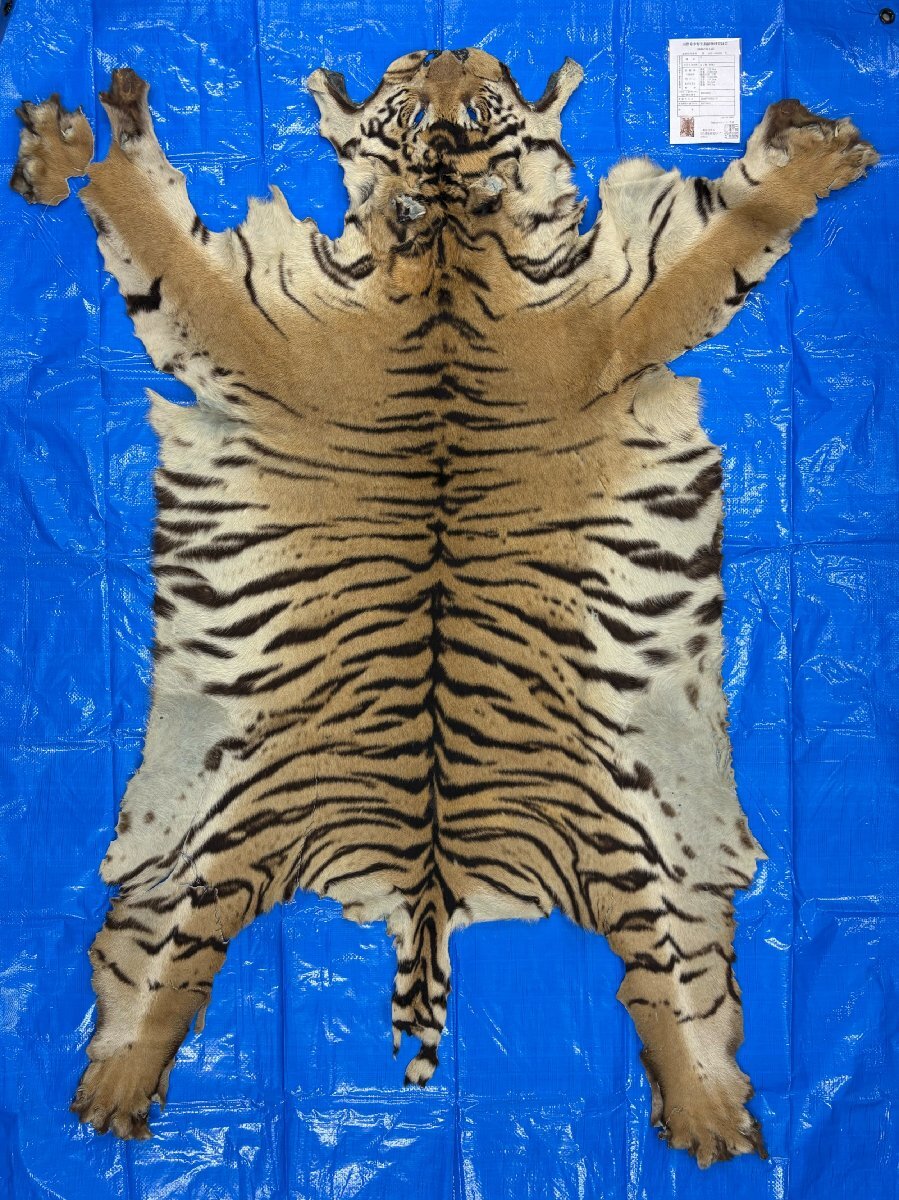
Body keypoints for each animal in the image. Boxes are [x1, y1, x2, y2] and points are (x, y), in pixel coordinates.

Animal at [11, 48, 876, 1166]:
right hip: (204, 864)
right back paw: (113, 1093)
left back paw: (713, 1117)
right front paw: (71, 151)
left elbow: (734, 228)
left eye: (481, 101)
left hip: (645, 884)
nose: (444, 51)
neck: (448, 246)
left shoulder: (625, 308)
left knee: (675, 999)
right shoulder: (254, 324)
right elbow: (143, 222)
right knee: (156, 972)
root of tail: (426, 893)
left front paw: (814, 160)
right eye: (409, 104)